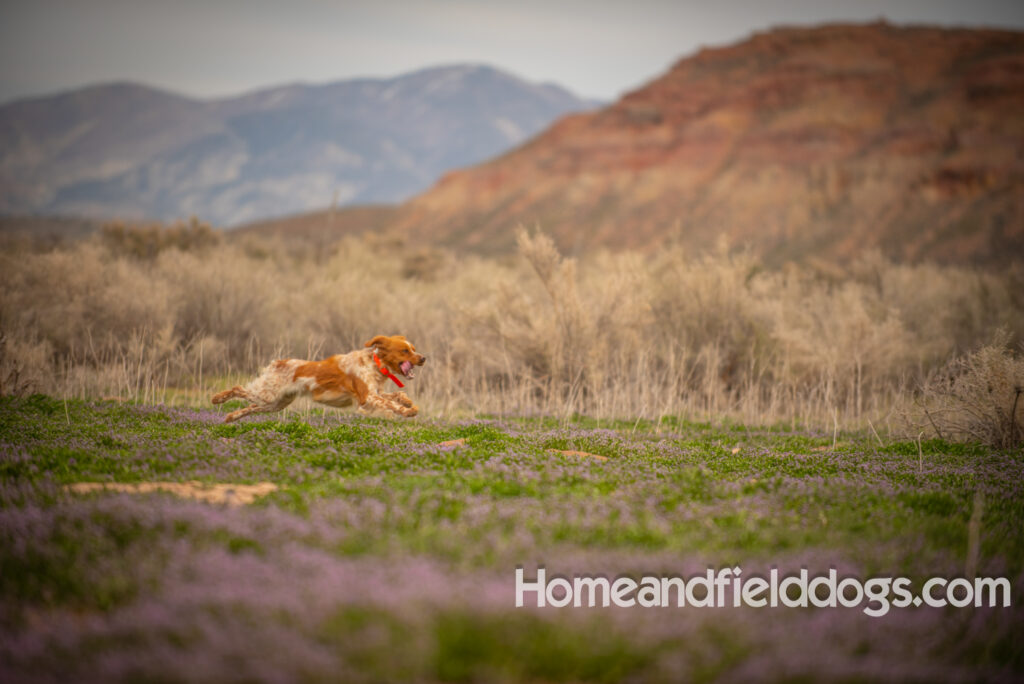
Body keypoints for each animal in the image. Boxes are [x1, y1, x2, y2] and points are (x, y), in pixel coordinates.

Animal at [210, 335, 423, 421]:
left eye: (413, 348)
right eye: (405, 350)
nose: (423, 358)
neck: (374, 363)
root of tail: (278, 362)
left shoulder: (373, 394)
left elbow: (396, 396)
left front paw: (408, 402)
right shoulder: (367, 397)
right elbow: (392, 404)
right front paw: (408, 411)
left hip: (276, 403)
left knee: (250, 407)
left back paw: (231, 417)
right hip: (268, 396)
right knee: (238, 388)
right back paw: (218, 398)